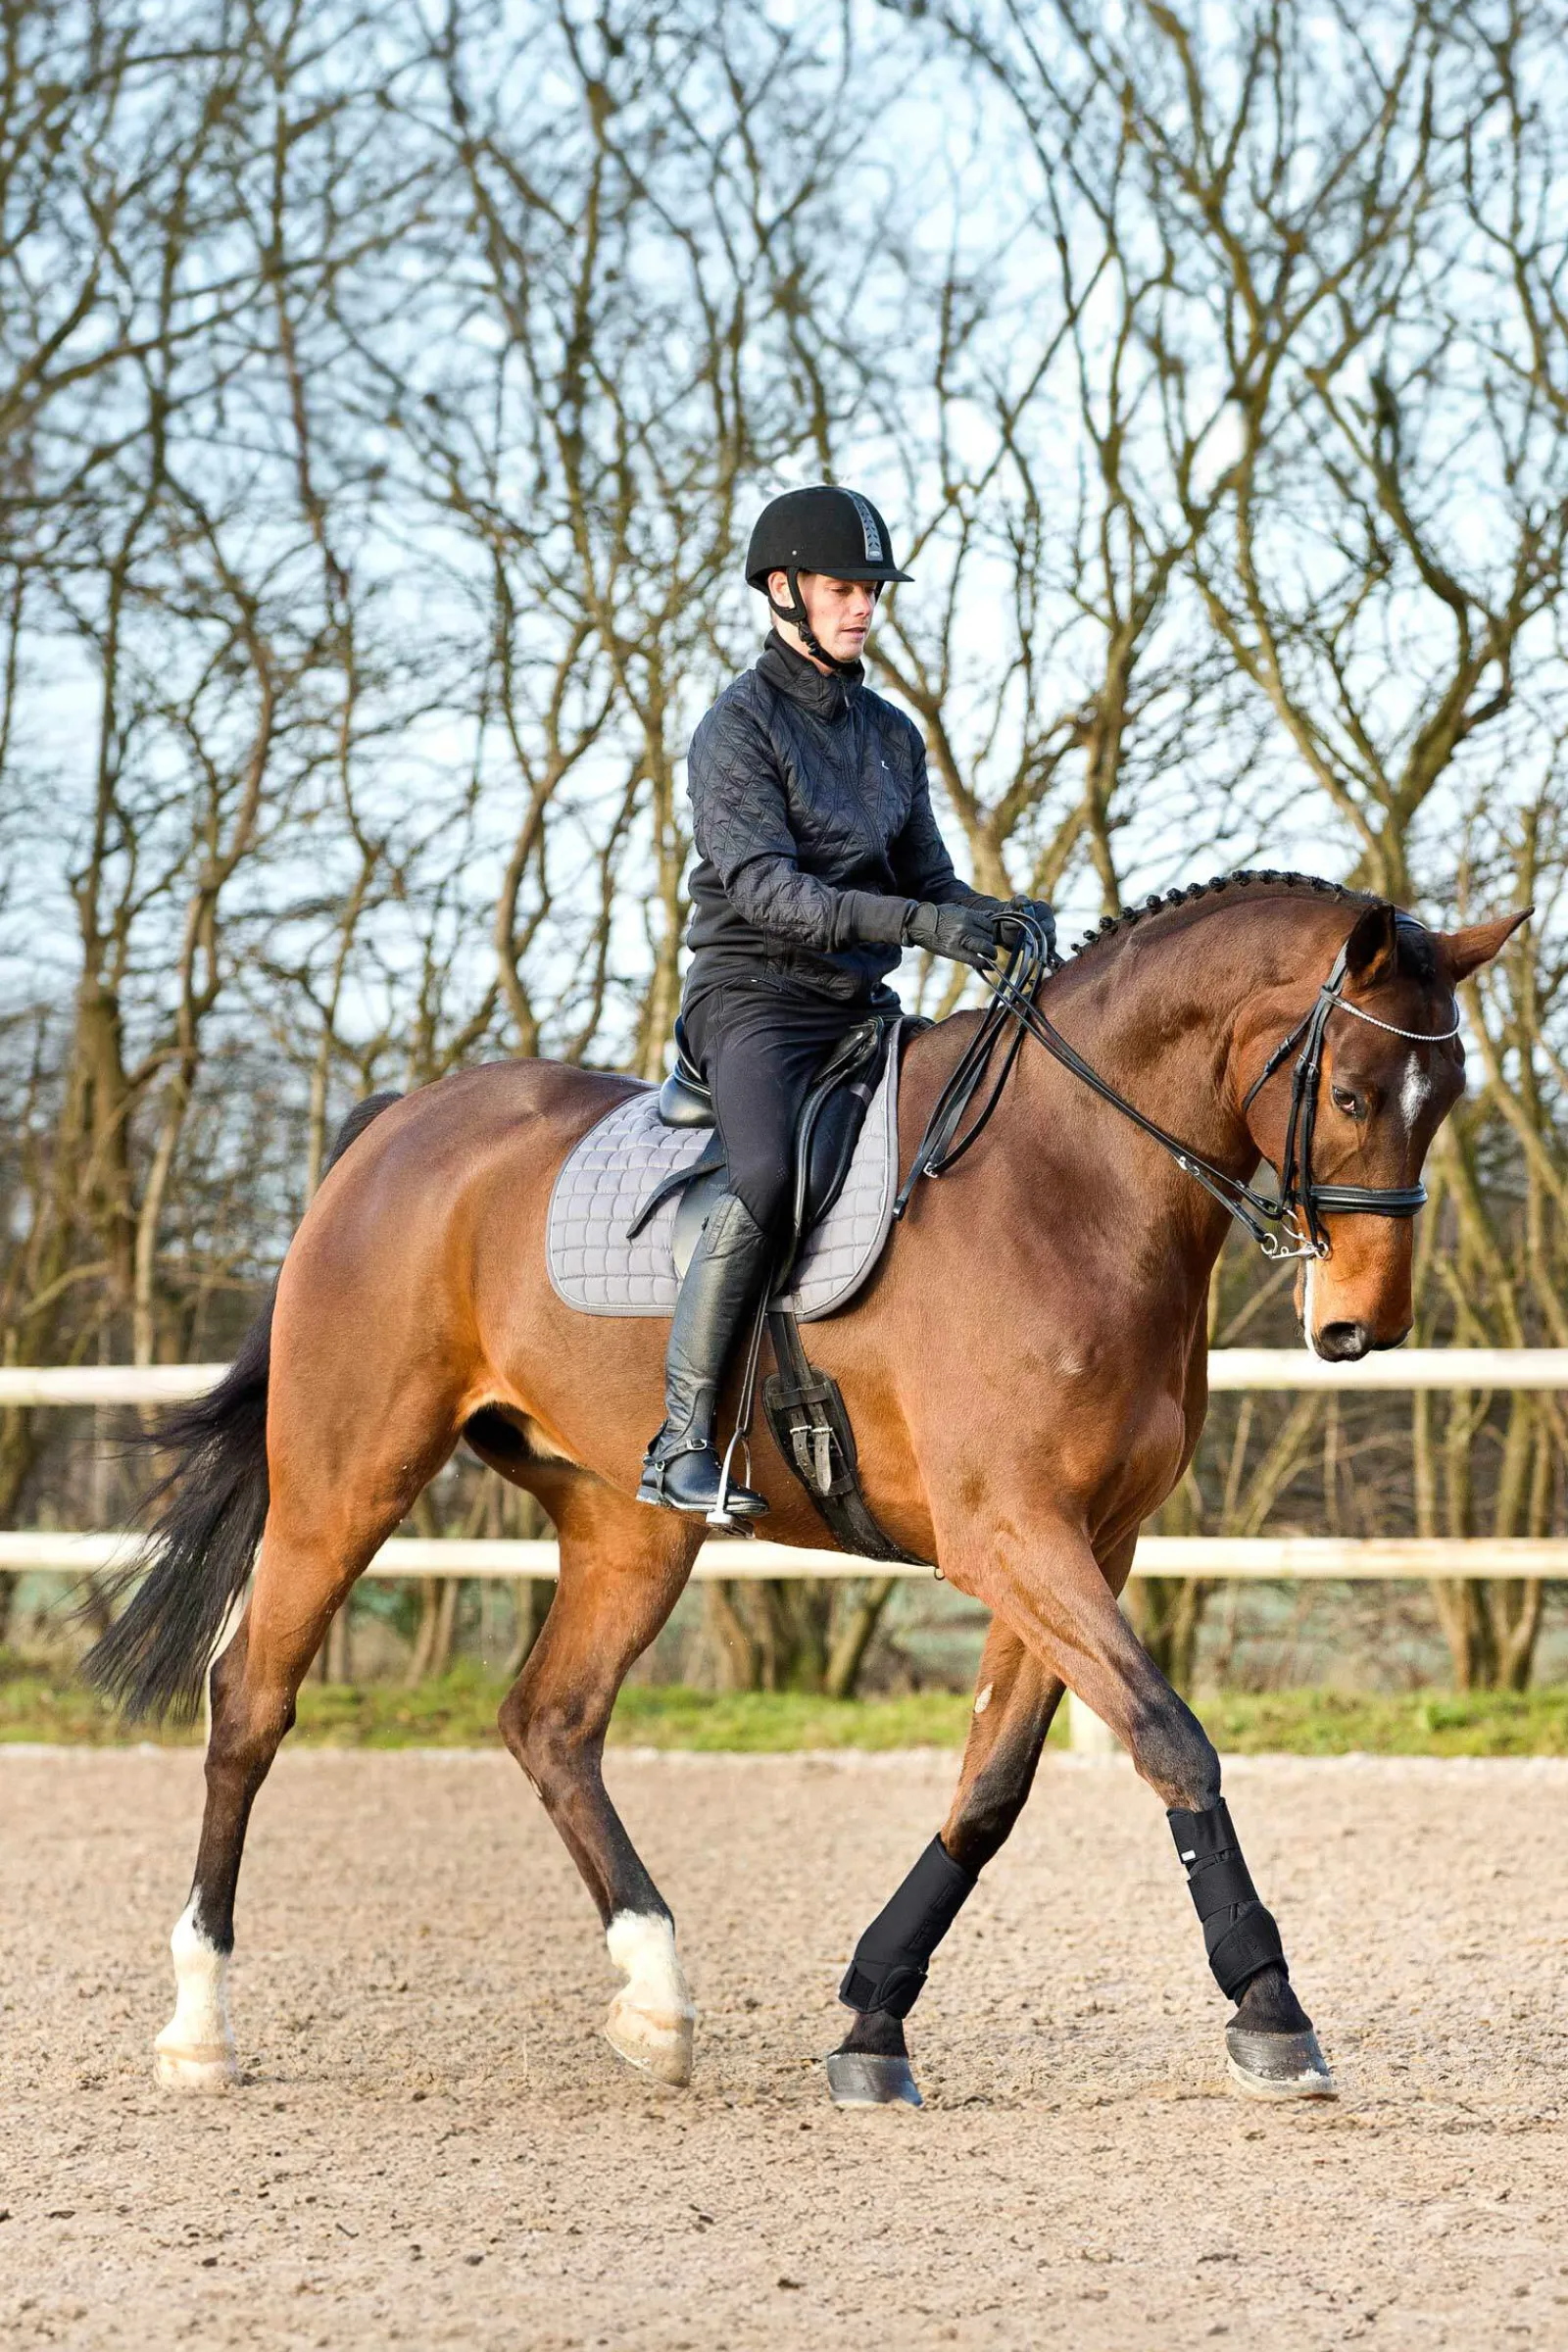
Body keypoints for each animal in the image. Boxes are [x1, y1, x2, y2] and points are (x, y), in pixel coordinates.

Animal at [84, 870, 1522, 2106]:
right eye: (1353, 1093)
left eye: (1445, 1095)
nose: (1359, 1328)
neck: (1072, 1183)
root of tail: (396, 1127)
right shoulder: (1012, 1534)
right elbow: (1171, 1741)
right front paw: (1271, 2012)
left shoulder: (1087, 1545)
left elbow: (991, 1788)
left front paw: (874, 2021)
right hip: (345, 1479)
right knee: (250, 1702)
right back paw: (199, 2028)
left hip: (626, 1527)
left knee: (551, 1721)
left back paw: (656, 2002)